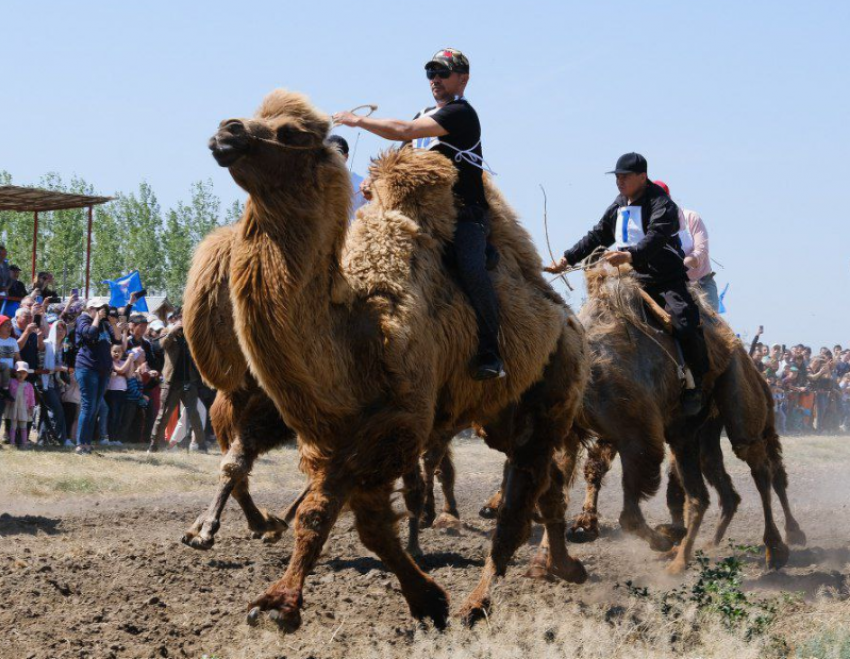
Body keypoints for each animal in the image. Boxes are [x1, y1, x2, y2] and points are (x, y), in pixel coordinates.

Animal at [200, 90, 588, 632]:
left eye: (291, 132)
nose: (227, 130)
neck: (358, 330)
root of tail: (570, 323)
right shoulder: (335, 434)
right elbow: (347, 520)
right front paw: (423, 600)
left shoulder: (397, 425)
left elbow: (341, 513)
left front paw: (282, 603)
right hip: (502, 416)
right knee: (546, 484)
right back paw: (562, 567)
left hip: (552, 395)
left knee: (520, 502)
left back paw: (478, 602)